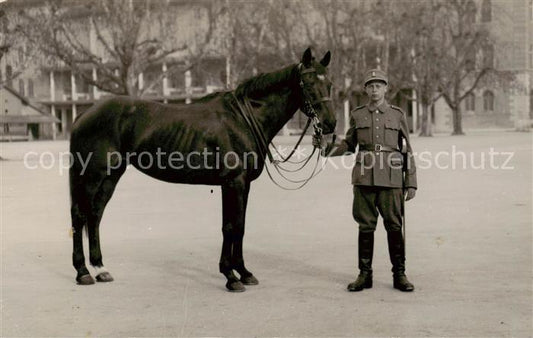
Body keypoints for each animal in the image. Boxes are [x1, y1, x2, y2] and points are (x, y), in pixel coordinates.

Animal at [68, 47, 334, 290]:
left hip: (111, 175)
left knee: (95, 215)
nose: (331, 123)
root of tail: (84, 114)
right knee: (80, 215)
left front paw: (244, 273)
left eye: (329, 83)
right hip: (92, 175)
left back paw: (100, 269)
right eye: (308, 83)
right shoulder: (233, 182)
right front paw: (230, 277)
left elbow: (240, 226)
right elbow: (231, 226)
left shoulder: (243, 184)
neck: (242, 119)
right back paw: (83, 272)